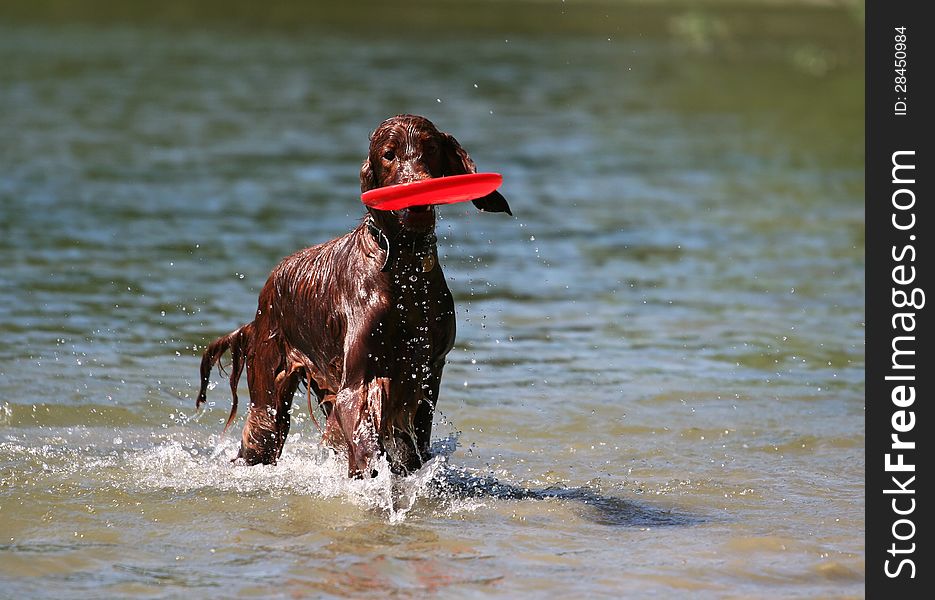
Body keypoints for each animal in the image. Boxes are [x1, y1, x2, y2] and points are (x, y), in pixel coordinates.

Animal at [193, 115, 508, 476]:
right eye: (389, 154)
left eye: (430, 148)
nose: (417, 199)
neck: (405, 270)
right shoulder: (357, 384)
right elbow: (365, 443)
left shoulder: (427, 376)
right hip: (268, 404)